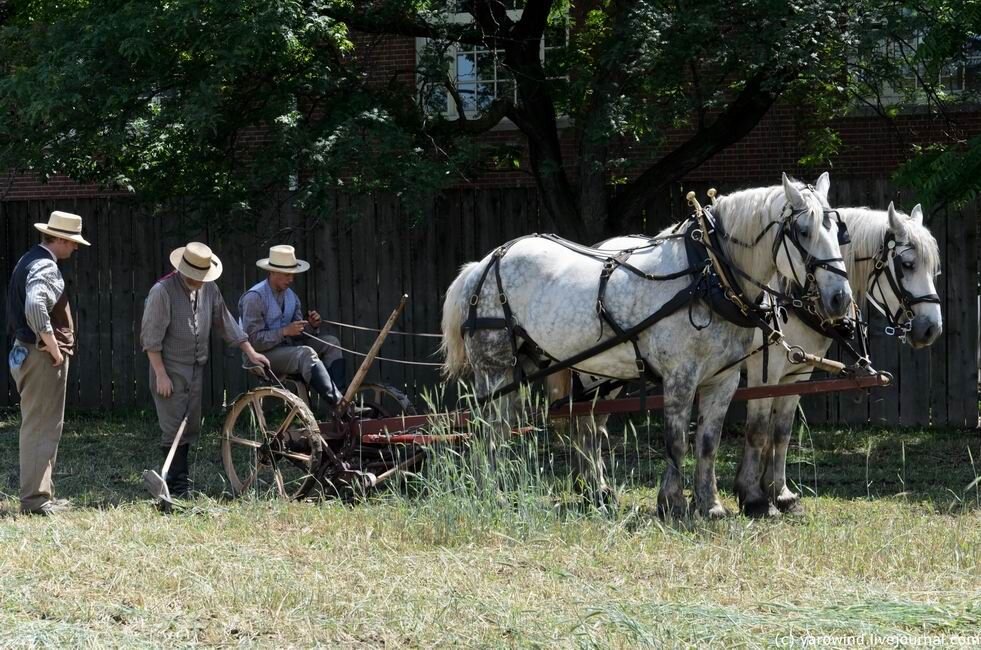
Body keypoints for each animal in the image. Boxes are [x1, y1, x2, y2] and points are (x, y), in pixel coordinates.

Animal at [444, 172, 848, 516]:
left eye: (838, 230)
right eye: (803, 230)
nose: (840, 298)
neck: (709, 275)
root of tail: (483, 264)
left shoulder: (725, 380)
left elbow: (708, 442)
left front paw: (711, 505)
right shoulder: (682, 377)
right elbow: (678, 440)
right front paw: (673, 502)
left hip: (551, 367)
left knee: (555, 426)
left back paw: (582, 492)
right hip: (495, 369)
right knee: (488, 427)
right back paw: (491, 491)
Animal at [736, 200, 940, 512]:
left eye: (933, 269)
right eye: (908, 264)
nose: (931, 328)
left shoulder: (797, 374)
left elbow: (781, 432)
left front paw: (780, 493)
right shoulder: (764, 371)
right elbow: (758, 430)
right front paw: (753, 496)